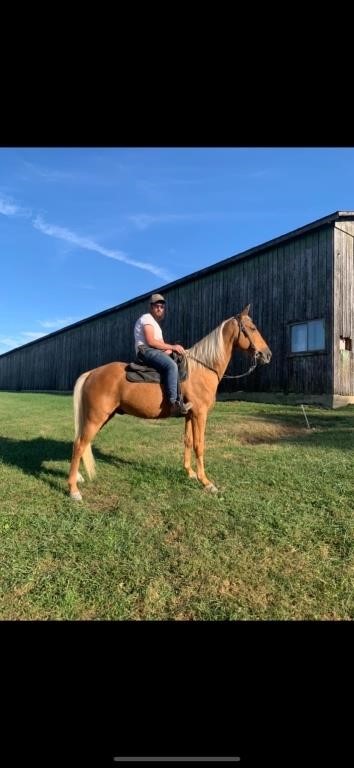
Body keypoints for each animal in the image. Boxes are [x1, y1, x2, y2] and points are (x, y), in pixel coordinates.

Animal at [68, 304, 272, 500]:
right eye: (252, 328)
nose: (267, 354)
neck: (201, 368)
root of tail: (92, 373)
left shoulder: (189, 415)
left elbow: (188, 441)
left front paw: (190, 473)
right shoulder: (200, 414)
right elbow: (199, 445)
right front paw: (206, 482)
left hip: (103, 416)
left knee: (82, 443)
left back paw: (77, 478)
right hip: (96, 417)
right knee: (79, 444)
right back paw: (73, 490)